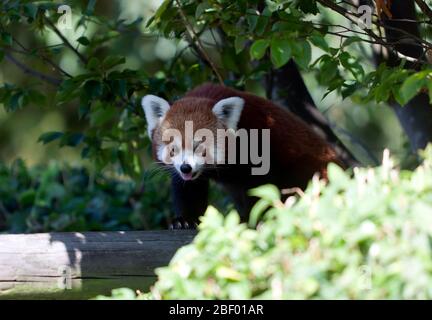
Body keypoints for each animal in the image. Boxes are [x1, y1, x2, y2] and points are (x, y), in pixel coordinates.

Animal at [143, 83, 342, 228]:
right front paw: (186, 219)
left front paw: (252, 218)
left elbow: (260, 186)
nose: (186, 167)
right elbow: (187, 188)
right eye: (173, 148)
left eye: (199, 146)